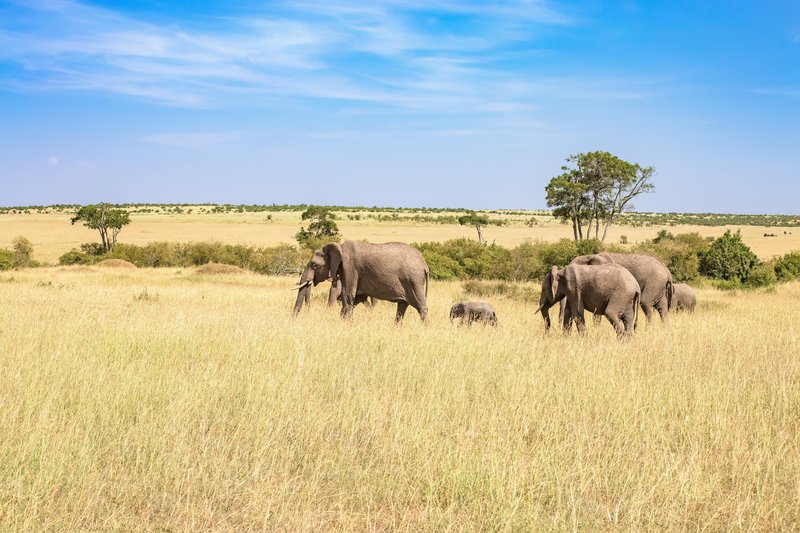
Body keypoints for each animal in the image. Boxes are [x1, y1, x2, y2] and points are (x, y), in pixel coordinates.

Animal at [296, 241, 432, 320]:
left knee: (421, 307)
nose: (294, 318)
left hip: (413, 280)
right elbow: (356, 298)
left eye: (314, 265)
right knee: (402, 307)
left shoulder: (350, 268)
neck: (339, 247)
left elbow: (348, 296)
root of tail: (425, 265)